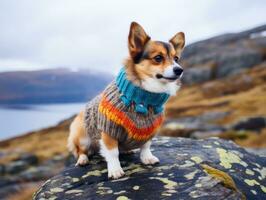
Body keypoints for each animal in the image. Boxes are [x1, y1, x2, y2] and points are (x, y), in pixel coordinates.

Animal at [68, 21, 185, 180]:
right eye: (158, 58)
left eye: (176, 58)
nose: (180, 70)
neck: (143, 98)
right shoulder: (109, 131)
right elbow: (112, 153)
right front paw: (115, 170)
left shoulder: (149, 130)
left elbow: (146, 146)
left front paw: (147, 158)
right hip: (82, 136)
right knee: (81, 150)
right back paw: (83, 159)